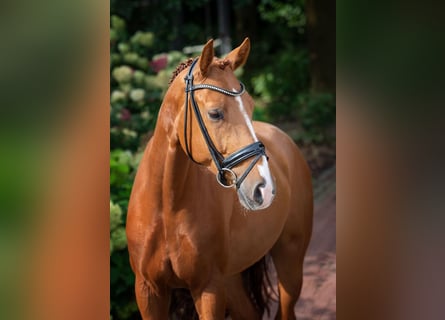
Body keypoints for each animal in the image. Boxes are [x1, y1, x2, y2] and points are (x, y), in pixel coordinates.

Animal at [125, 38, 312, 318]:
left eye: (251, 106)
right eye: (215, 113)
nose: (265, 189)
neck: (166, 207)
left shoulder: (208, 288)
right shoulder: (148, 290)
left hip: (290, 261)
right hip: (232, 280)